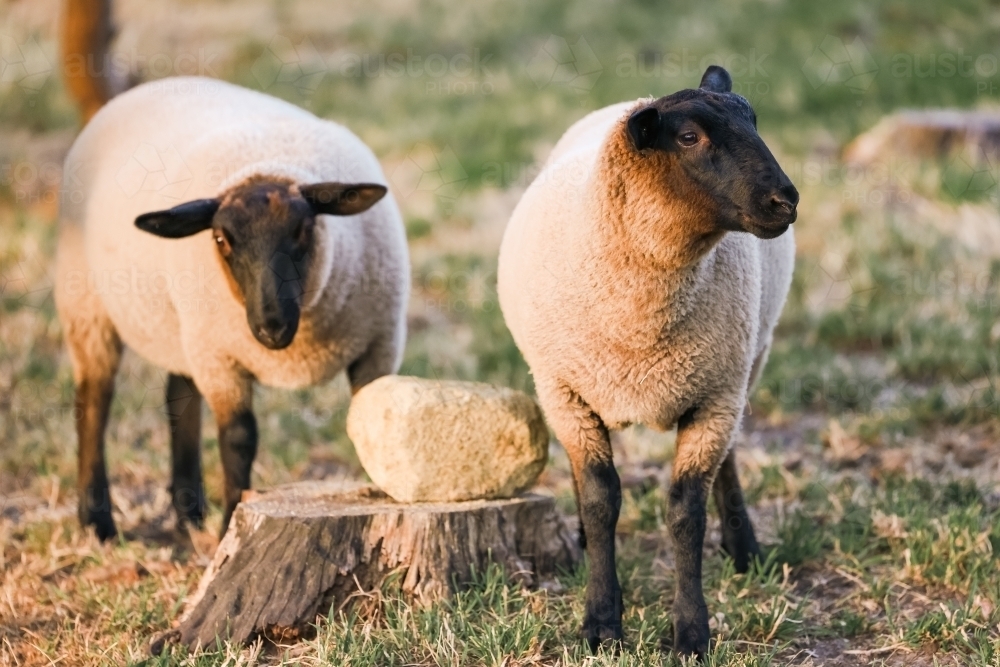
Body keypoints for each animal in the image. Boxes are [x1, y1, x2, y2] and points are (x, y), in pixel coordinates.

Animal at [55, 76, 409, 541]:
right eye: (221, 239)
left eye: (303, 229)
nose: (270, 327)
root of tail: (154, 84)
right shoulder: (222, 358)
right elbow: (239, 438)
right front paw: (229, 524)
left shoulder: (379, 343)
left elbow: (372, 423)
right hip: (88, 304)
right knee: (93, 401)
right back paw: (97, 521)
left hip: (180, 328)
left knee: (178, 394)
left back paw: (188, 511)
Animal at [497, 66, 798, 656]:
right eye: (688, 137)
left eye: (754, 119)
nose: (786, 201)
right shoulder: (565, 391)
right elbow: (601, 498)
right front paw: (601, 622)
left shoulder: (714, 397)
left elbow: (685, 512)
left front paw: (691, 633)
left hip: (746, 364)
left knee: (730, 459)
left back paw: (744, 549)